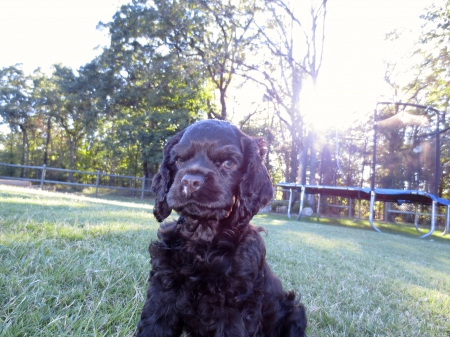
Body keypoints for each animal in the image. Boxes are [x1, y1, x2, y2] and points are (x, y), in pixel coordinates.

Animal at [137, 119, 306, 334]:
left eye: (228, 163)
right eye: (179, 160)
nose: (190, 181)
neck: (202, 235)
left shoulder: (235, 304)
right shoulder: (163, 288)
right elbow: (154, 326)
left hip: (294, 313)